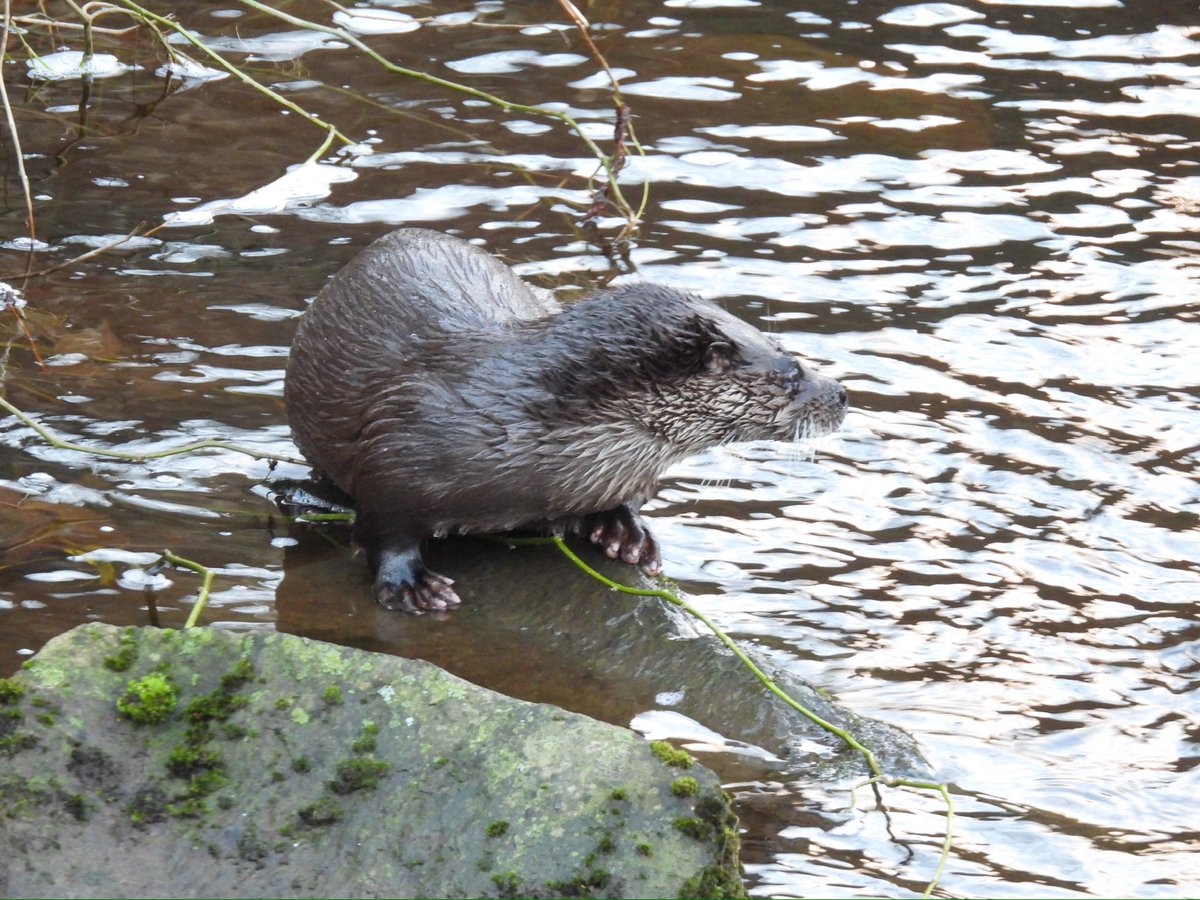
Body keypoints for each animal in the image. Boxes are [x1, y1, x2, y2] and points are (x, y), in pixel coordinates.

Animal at [284, 228, 847, 614]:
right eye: (791, 370)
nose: (842, 394)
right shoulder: (397, 455)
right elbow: (384, 530)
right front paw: (411, 587)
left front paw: (625, 532)